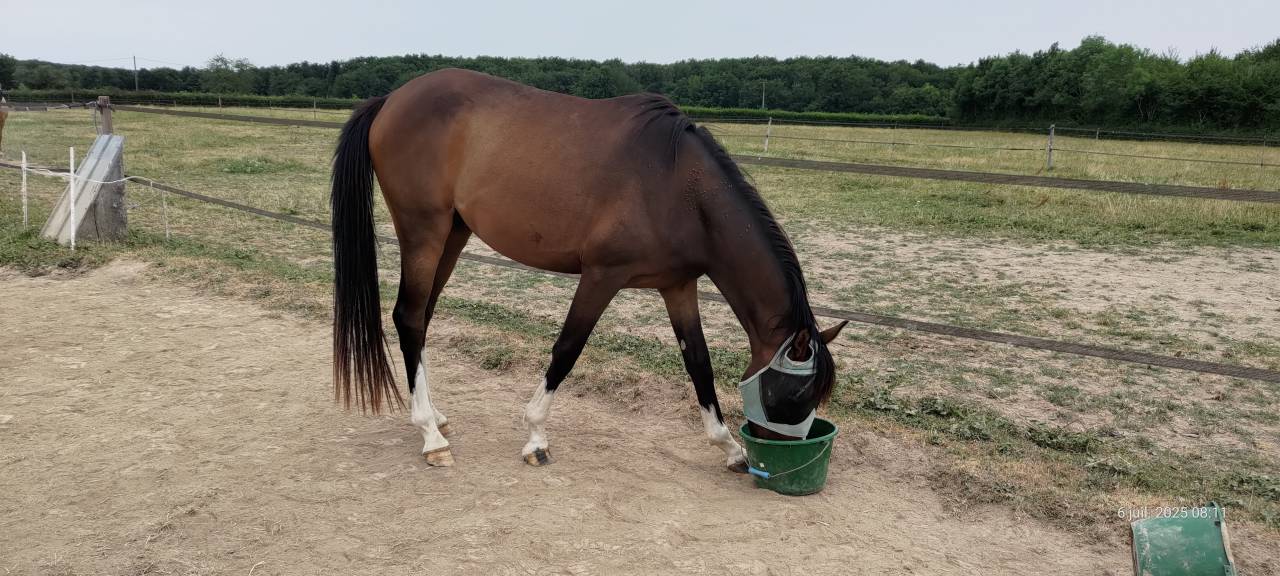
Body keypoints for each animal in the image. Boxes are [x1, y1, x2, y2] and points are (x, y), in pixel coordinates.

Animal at [330, 68, 846, 471]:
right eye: (793, 397)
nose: (777, 455)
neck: (677, 184)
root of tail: (391, 100)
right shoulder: (602, 276)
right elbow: (567, 349)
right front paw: (536, 437)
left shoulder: (678, 287)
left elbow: (699, 363)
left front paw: (729, 448)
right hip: (424, 232)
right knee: (408, 316)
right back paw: (431, 438)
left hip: (453, 236)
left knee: (422, 318)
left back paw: (434, 418)